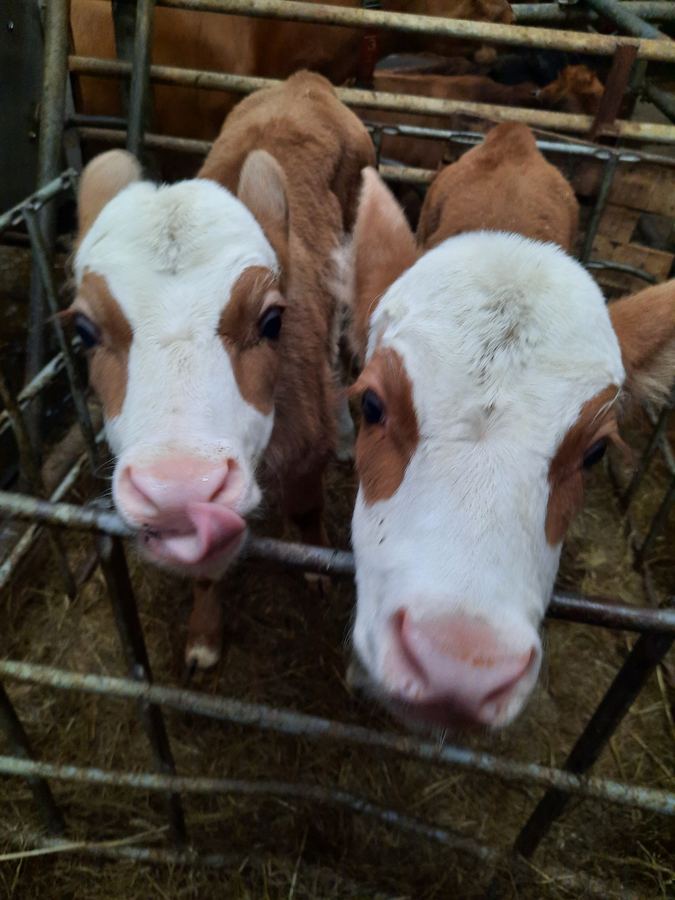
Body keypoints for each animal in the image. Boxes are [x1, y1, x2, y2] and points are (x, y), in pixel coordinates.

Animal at [69, 72, 375, 669]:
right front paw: (203, 636)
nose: (178, 489)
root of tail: (304, 83)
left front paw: (314, 566)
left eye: (273, 319)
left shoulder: (306, 447)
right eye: (85, 331)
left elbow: (307, 508)